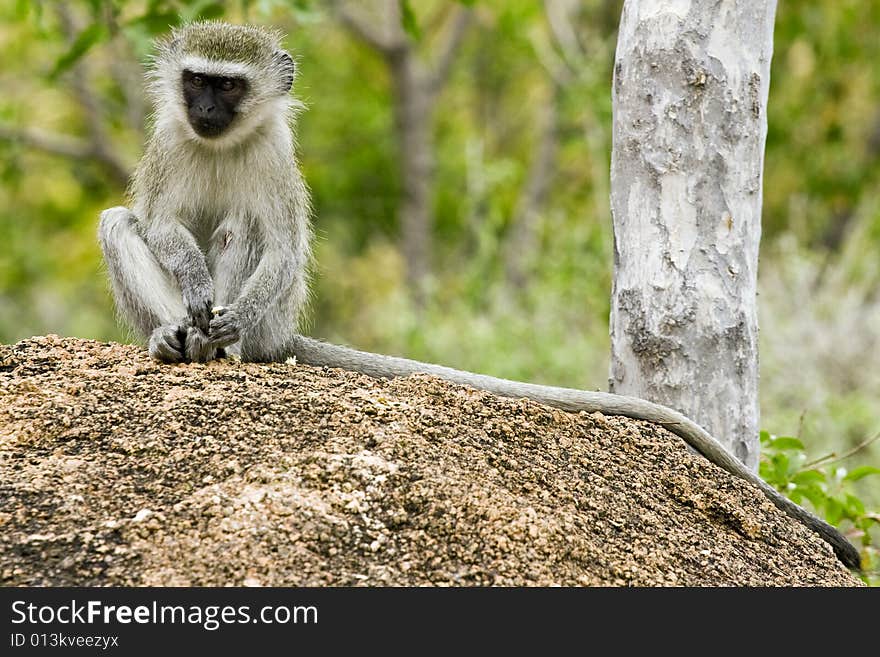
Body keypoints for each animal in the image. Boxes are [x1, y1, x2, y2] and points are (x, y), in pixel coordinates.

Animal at [98, 21, 860, 568]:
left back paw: (224, 349)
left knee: (239, 231)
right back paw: (174, 340)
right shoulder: (168, 144)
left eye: (227, 88)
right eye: (196, 80)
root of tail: (281, 338)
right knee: (118, 223)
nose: (202, 107)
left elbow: (280, 247)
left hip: (271, 323)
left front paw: (223, 319)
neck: (220, 144)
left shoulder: (275, 160)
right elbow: (160, 224)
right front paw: (193, 289)